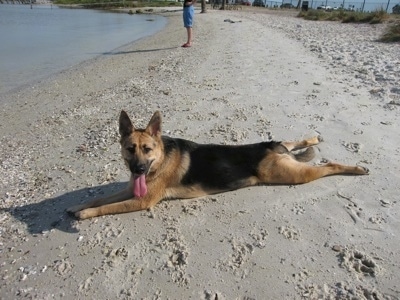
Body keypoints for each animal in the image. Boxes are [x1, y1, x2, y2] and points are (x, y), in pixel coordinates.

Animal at [68, 111, 368, 219]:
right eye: (131, 149)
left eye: (147, 150)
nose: (138, 170)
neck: (160, 158)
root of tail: (271, 149)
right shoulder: (131, 188)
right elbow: (102, 197)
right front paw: (78, 206)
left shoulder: (142, 200)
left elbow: (107, 206)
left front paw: (84, 214)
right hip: (280, 149)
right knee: (294, 141)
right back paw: (314, 137)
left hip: (292, 174)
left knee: (328, 166)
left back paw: (357, 169)